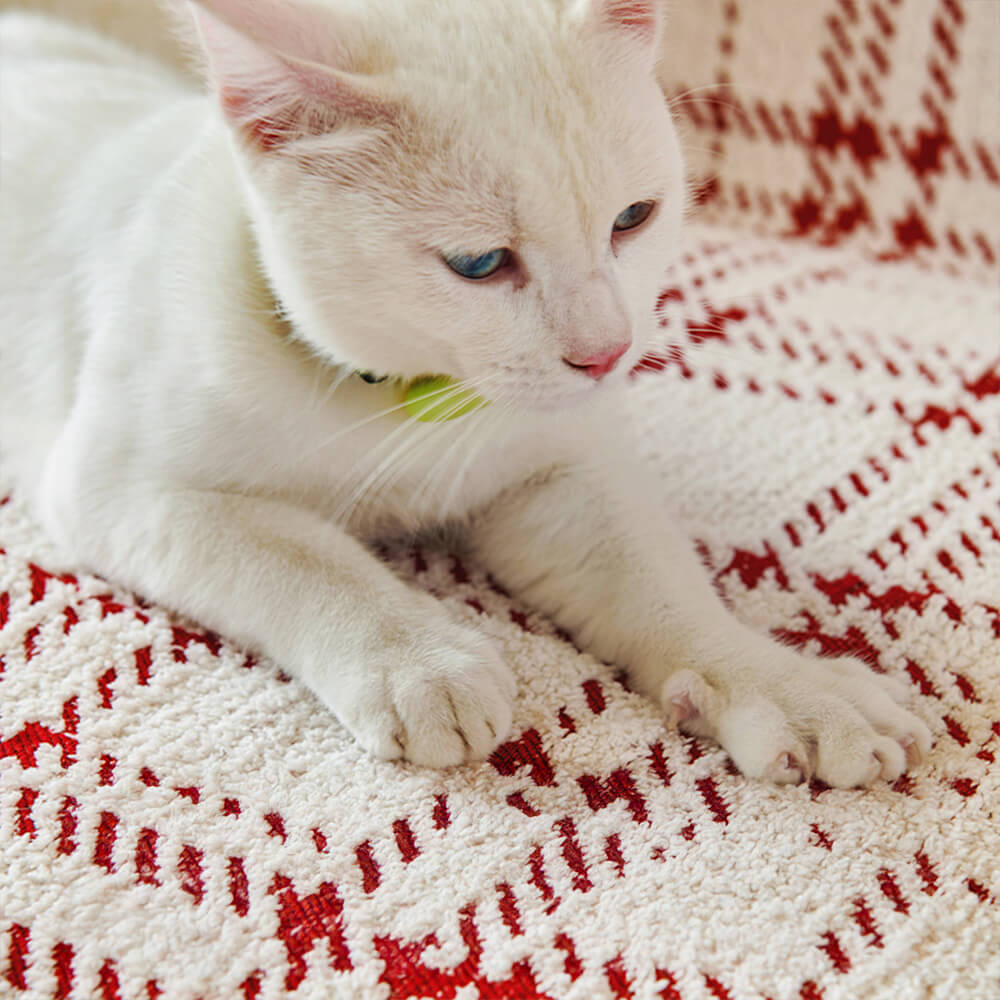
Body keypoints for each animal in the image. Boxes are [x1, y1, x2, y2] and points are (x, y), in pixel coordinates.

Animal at [1, 0, 936, 780]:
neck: (418, 399)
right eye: (480, 264)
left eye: (634, 218)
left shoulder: (561, 474)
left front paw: (784, 681)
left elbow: (659, 580)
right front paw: (415, 659)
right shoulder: (117, 487)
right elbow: (296, 551)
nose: (607, 352)